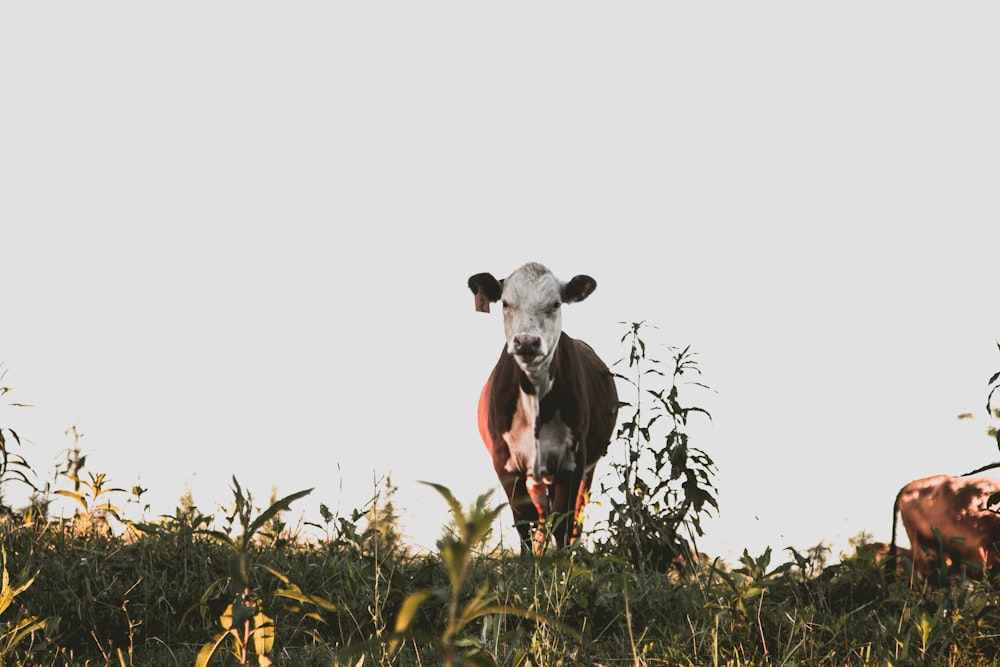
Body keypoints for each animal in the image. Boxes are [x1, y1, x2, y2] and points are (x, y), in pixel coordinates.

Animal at [466, 262, 616, 552]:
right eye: (505, 303)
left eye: (555, 304)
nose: (526, 341)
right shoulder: (505, 462)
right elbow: (525, 520)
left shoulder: (573, 459)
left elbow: (564, 520)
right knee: (541, 515)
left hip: (586, 469)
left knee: (574, 517)